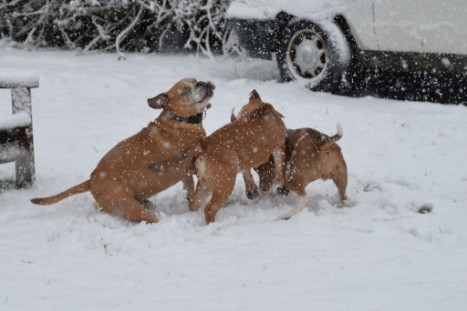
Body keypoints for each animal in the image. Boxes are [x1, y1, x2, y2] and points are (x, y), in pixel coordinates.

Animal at [31, 78, 216, 224]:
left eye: (195, 80)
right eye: (185, 90)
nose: (202, 82)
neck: (180, 120)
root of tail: (91, 180)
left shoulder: (185, 173)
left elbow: (189, 186)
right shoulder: (185, 160)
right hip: (129, 206)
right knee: (149, 218)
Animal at [188, 90, 288, 224]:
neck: (259, 109)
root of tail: (202, 149)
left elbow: (247, 173)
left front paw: (252, 191)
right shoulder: (279, 147)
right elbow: (280, 167)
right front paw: (282, 187)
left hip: (205, 184)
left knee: (194, 202)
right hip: (225, 184)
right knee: (210, 209)